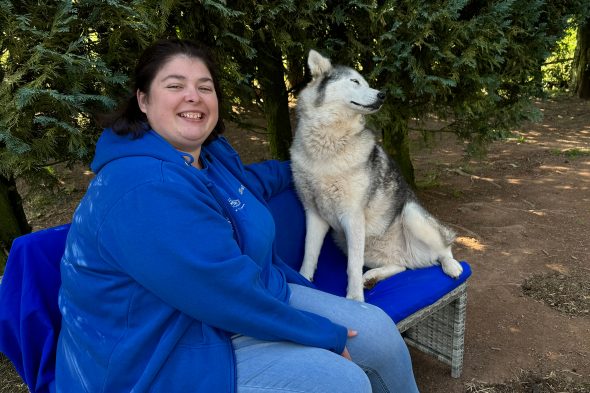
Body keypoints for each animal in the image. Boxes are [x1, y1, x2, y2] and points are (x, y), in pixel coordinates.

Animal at [292, 49, 468, 300]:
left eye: (367, 83)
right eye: (354, 81)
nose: (382, 95)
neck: (327, 147)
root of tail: (415, 259)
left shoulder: (353, 217)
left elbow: (352, 268)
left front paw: (355, 300)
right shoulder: (314, 214)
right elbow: (309, 255)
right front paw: (304, 280)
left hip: (411, 214)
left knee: (444, 248)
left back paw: (451, 266)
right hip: (348, 241)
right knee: (401, 266)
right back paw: (372, 276)